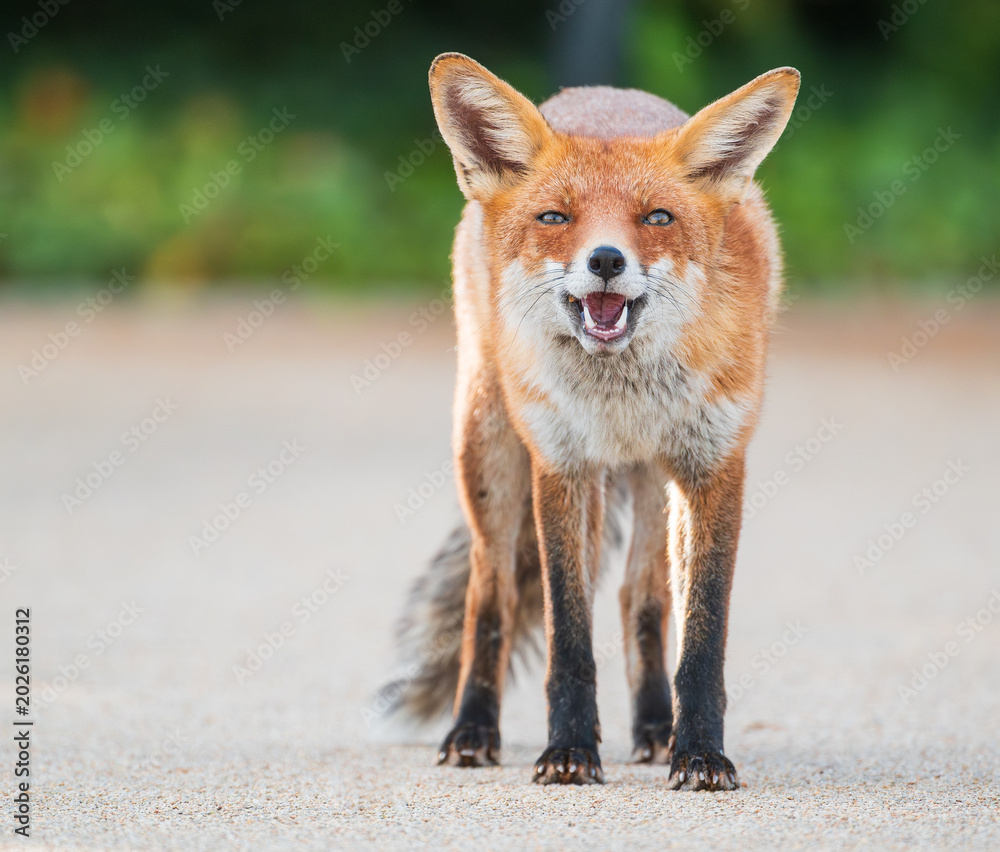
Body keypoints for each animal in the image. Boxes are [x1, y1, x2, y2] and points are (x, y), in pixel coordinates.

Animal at [381, 53, 800, 790]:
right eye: (556, 216)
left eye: (657, 217)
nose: (606, 259)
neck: (622, 396)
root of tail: (594, 92)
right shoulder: (563, 464)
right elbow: (568, 639)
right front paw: (570, 750)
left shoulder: (714, 465)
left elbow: (702, 636)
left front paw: (699, 752)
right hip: (490, 450)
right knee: (489, 597)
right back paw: (472, 729)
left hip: (654, 482)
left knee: (642, 598)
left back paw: (655, 726)